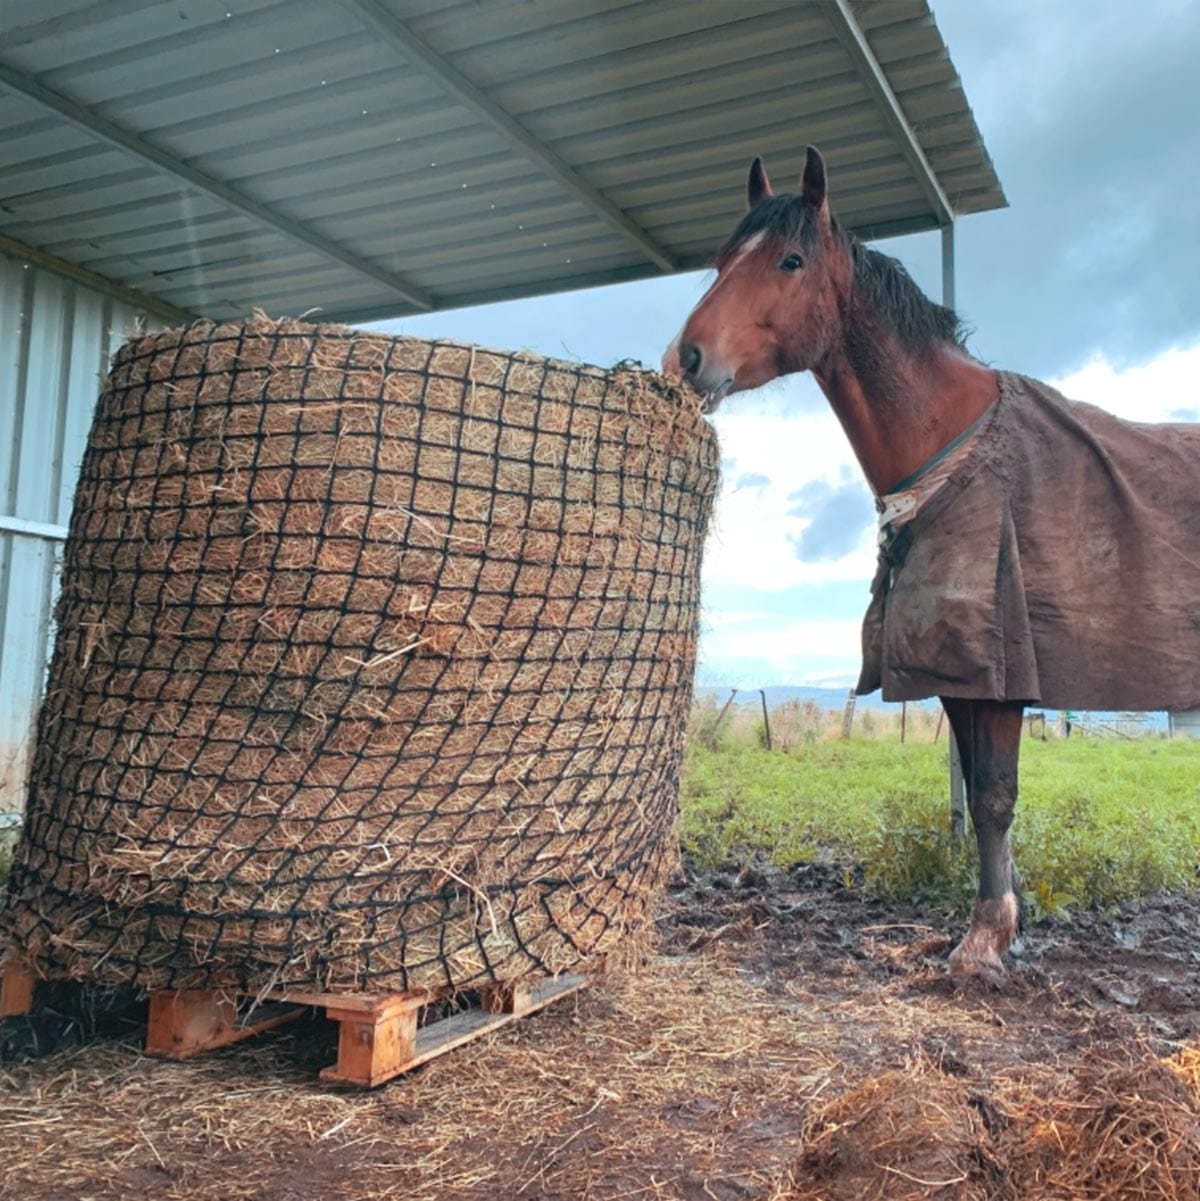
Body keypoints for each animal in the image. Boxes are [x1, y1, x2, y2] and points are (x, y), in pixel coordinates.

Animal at [664, 147, 1200, 983]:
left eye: (789, 261)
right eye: (722, 261)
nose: (686, 358)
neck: (957, 449)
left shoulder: (999, 673)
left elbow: (996, 797)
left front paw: (983, 939)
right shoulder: (954, 678)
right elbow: (980, 792)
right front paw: (1003, 920)